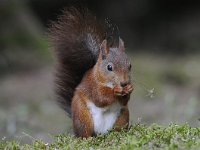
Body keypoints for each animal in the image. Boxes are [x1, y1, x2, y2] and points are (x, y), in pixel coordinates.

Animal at [49, 7, 134, 138]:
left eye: (129, 65)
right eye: (109, 67)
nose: (124, 83)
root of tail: (101, 133)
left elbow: (125, 101)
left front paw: (129, 89)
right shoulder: (93, 85)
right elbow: (100, 98)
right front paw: (116, 91)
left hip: (123, 116)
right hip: (83, 116)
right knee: (85, 132)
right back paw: (87, 138)